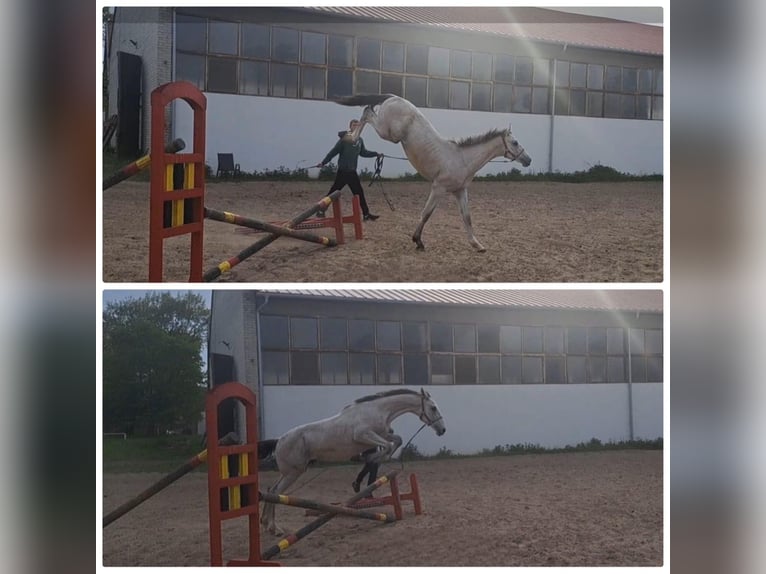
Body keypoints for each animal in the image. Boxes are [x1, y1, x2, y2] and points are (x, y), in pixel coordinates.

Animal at [260, 390, 448, 536]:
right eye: (433, 407)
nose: (442, 430)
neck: (379, 410)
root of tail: (279, 440)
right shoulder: (363, 435)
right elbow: (388, 446)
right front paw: (374, 459)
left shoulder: (383, 434)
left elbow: (397, 440)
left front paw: (376, 458)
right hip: (294, 472)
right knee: (276, 492)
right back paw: (274, 528)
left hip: (290, 472)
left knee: (272, 490)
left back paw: (267, 524)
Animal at [338, 94, 536, 252]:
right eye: (515, 142)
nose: (528, 160)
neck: (462, 159)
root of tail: (394, 97)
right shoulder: (438, 188)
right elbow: (426, 214)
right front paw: (418, 241)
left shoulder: (460, 191)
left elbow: (467, 217)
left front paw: (477, 245)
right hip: (388, 133)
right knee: (367, 112)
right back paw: (350, 137)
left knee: (368, 110)